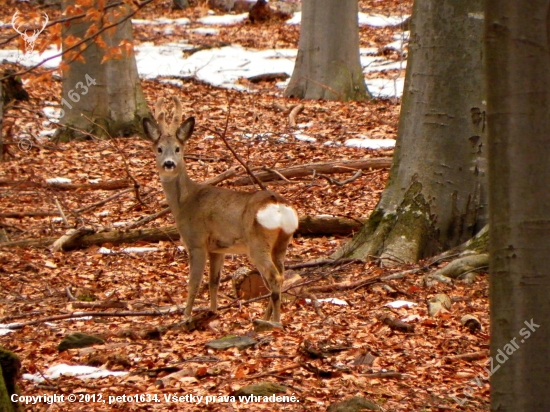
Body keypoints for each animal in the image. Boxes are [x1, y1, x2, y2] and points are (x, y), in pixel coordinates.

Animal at [142, 98, 298, 324]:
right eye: (160, 149)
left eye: (178, 148)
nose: (169, 164)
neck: (185, 201)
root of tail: (278, 206)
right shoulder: (218, 248)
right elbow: (213, 280)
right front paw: (213, 311)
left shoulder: (196, 241)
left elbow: (194, 282)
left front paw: (185, 317)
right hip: (282, 242)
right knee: (280, 275)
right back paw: (265, 316)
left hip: (258, 243)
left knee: (274, 276)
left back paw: (274, 322)